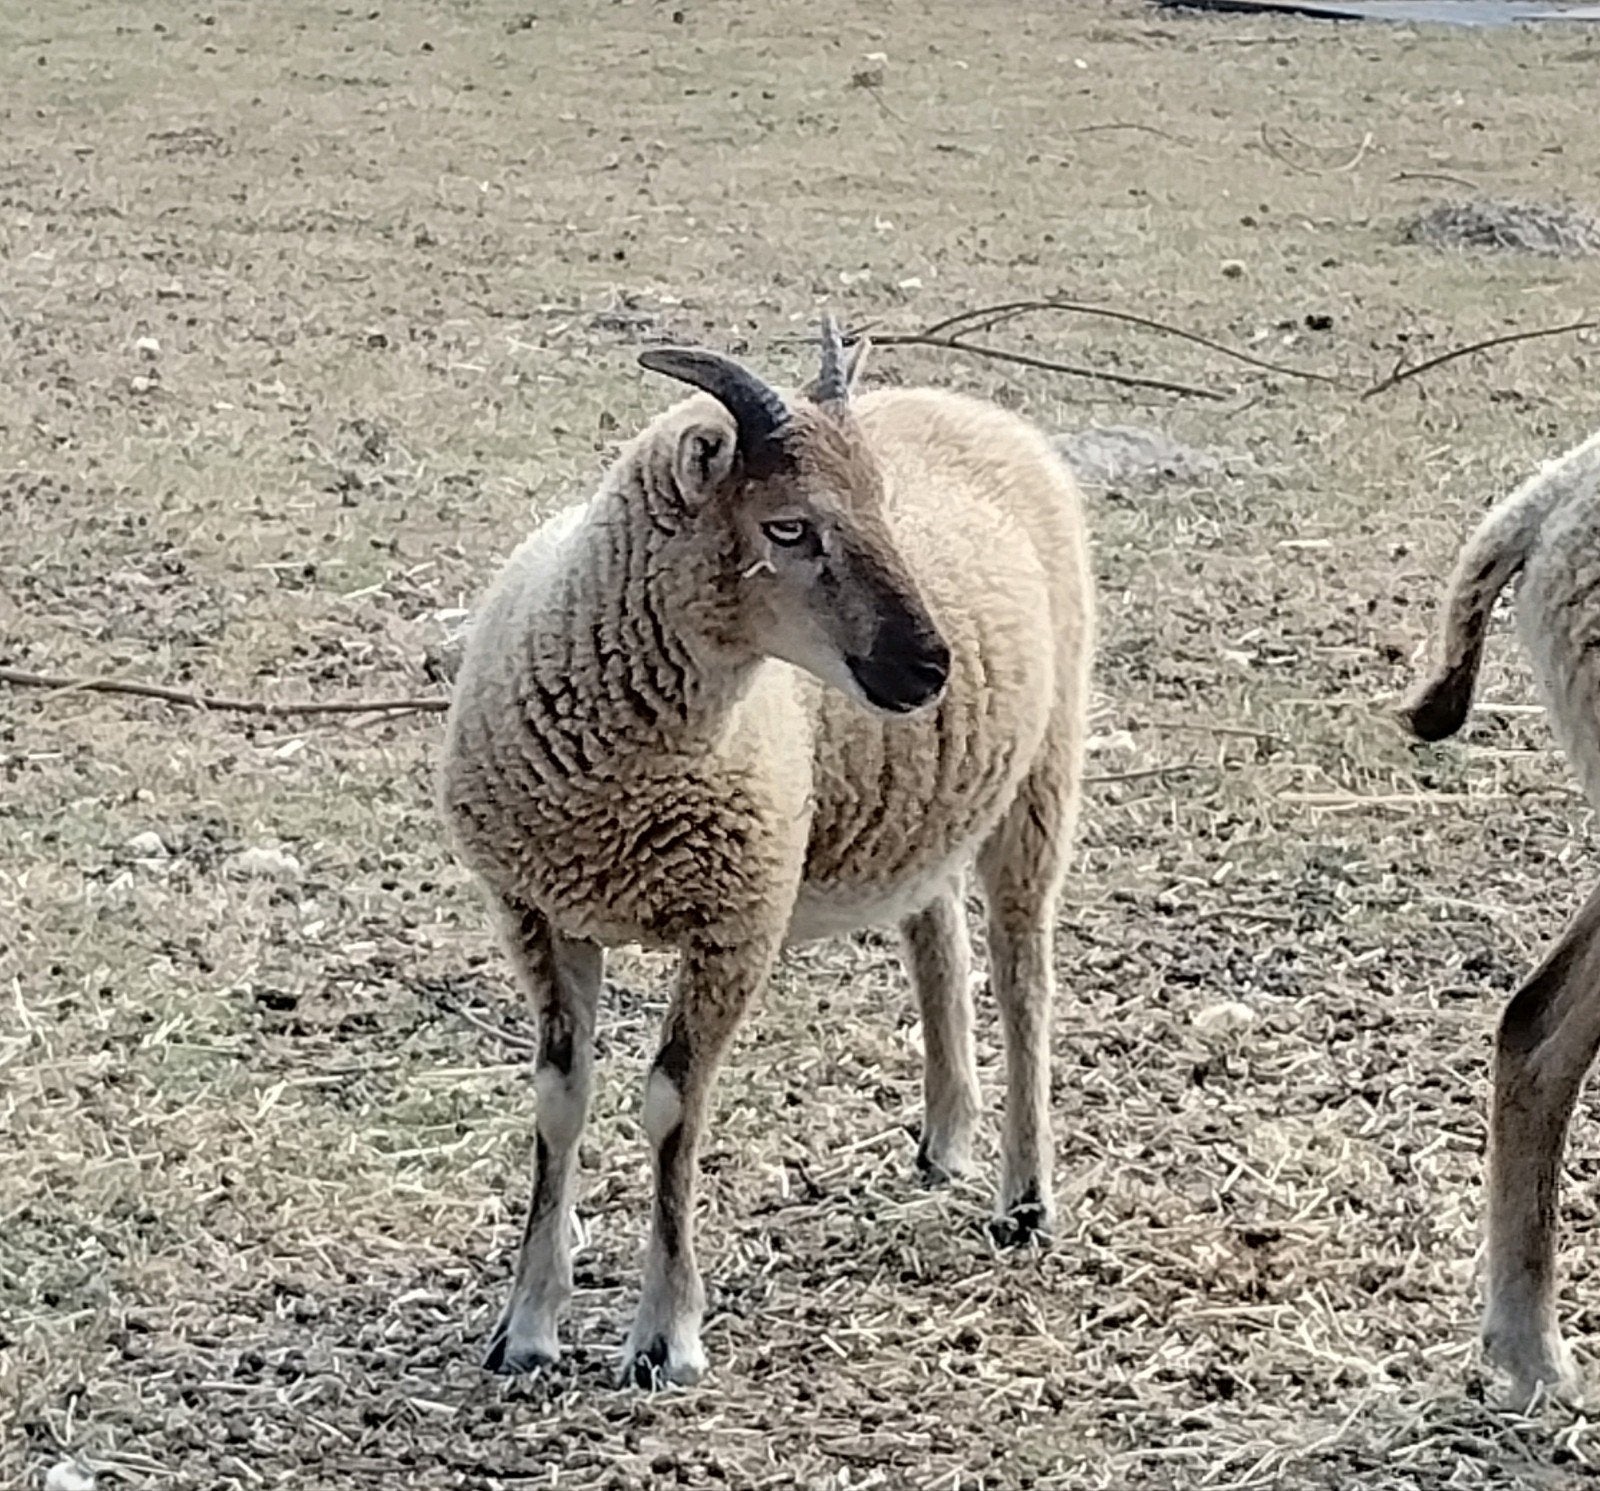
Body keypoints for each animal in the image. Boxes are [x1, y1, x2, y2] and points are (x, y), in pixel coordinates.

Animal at [437, 317, 1095, 1388]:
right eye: (788, 528)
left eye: (883, 506)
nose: (930, 667)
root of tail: (975, 406)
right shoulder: (537, 909)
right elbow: (558, 1099)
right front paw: (527, 1325)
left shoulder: (734, 923)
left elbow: (673, 1105)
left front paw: (664, 1335)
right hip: (925, 794)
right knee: (936, 936)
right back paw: (945, 1137)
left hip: (1043, 768)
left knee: (1022, 976)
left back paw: (1026, 1199)